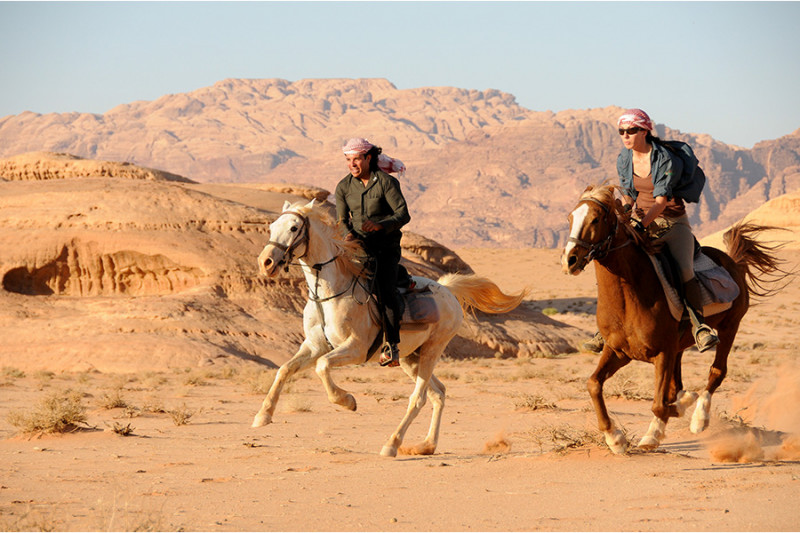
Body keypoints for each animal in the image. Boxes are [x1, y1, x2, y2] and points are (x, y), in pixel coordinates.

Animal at [252, 199, 524, 457]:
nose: (266, 262)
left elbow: (322, 366)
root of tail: (448, 290)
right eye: (271, 227)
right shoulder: (314, 345)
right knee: (439, 393)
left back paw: (391, 445)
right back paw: (426, 445)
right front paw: (263, 415)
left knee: (418, 398)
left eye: (294, 228)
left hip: (432, 350)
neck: (329, 293)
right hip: (409, 357)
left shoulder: (356, 348)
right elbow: (284, 369)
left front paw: (347, 401)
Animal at [561, 184, 789, 454]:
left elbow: (660, 404)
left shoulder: (662, 353)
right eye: (570, 218)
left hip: (729, 328)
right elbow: (594, 384)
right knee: (676, 384)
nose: (569, 260)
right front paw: (615, 438)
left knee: (716, 372)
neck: (630, 297)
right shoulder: (619, 351)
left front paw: (672, 416)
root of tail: (733, 262)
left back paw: (698, 418)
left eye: (596, 219)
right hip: (679, 346)